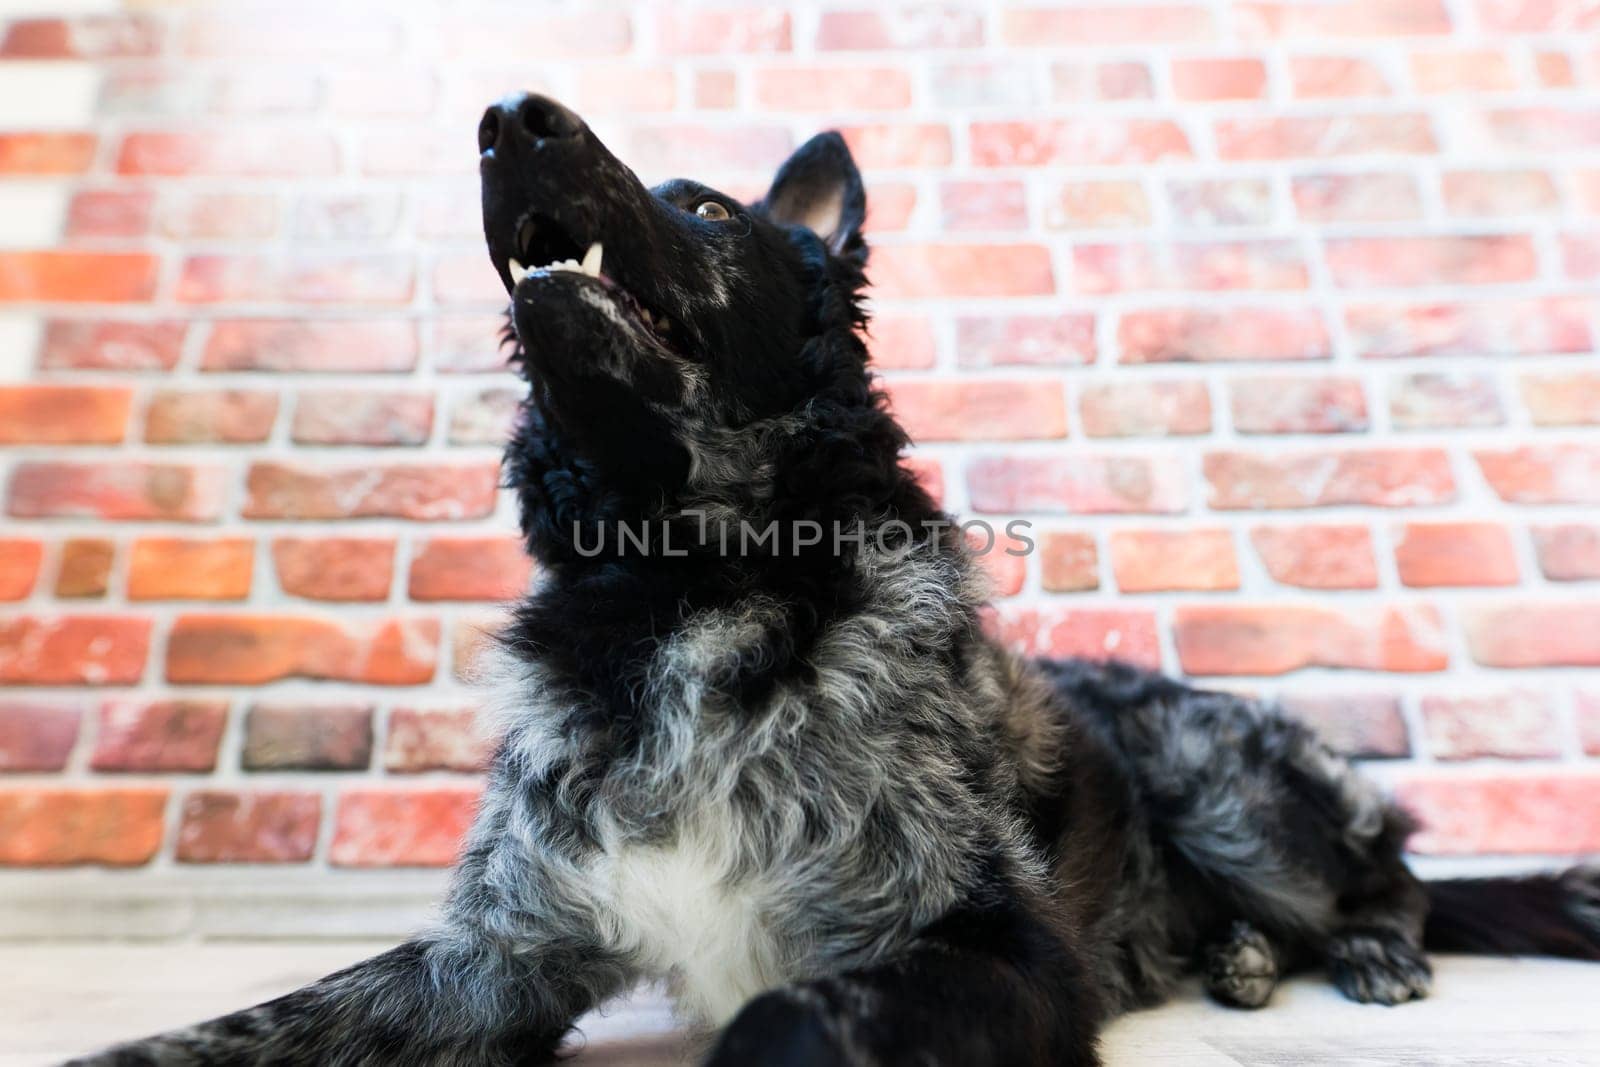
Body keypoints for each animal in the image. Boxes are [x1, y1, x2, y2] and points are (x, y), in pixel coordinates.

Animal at [72, 91, 1600, 1067]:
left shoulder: (999, 946)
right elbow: (244, 1023)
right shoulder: (496, 955)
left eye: (703, 206)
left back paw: (1365, 949)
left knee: (1394, 870)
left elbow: (791, 1016)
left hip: (1231, 791)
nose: (507, 119)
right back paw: (1237, 957)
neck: (686, 586)